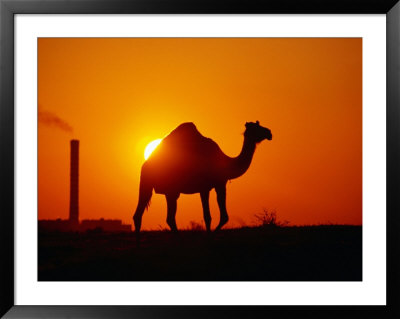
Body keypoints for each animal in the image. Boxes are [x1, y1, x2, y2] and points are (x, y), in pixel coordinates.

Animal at [134, 121, 272, 234]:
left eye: (259, 125)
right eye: (256, 128)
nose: (269, 133)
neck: (226, 163)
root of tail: (146, 164)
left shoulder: (210, 187)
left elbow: (213, 216)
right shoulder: (215, 185)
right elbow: (216, 216)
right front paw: (211, 237)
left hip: (164, 189)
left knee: (149, 216)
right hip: (162, 186)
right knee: (158, 216)